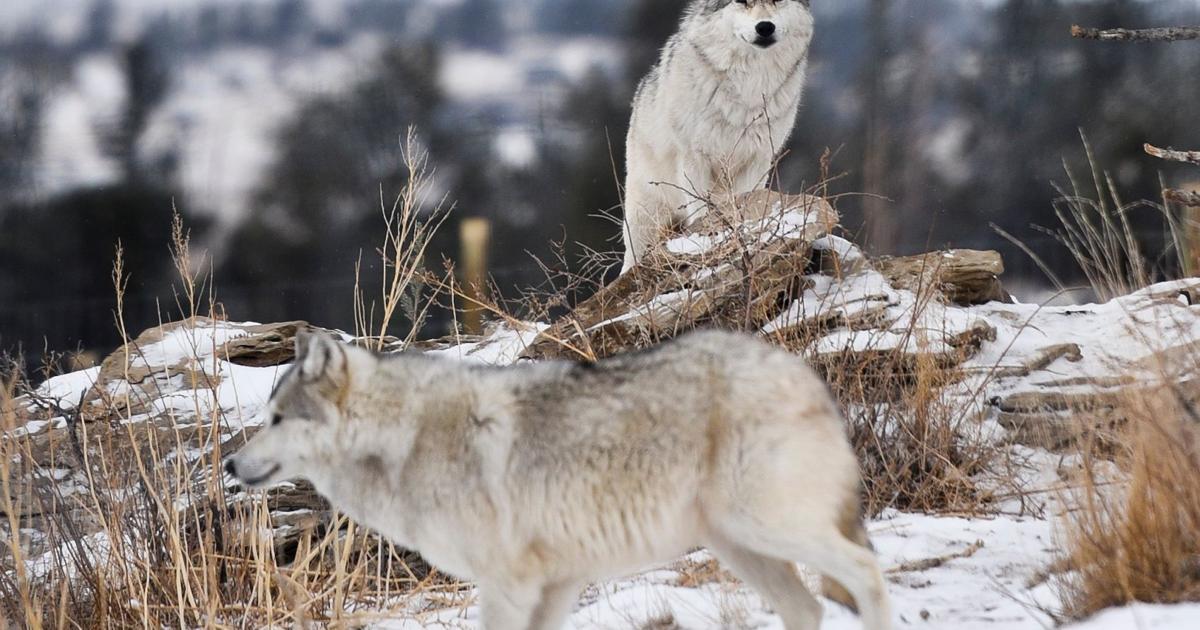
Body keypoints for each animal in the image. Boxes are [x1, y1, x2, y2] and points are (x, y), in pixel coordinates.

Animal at [226, 330, 892, 630]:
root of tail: (802, 371)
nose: (230, 466)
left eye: (278, 418)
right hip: (741, 545)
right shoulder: (554, 583)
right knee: (809, 608)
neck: (405, 437)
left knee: (865, 573)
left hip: (764, 528)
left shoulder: (509, 582)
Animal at [622, 0, 814, 272]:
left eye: (777, 1)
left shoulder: (758, 160)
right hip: (645, 222)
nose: (765, 27)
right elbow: (703, 213)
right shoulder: (694, 160)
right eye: (742, 3)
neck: (750, 88)